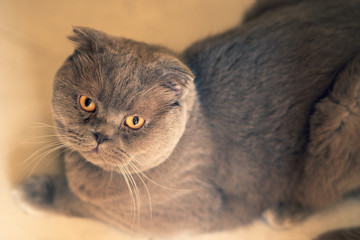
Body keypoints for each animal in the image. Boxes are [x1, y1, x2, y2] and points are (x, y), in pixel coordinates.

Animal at [12, 0, 360, 239]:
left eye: (134, 121)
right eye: (87, 103)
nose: (100, 134)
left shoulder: (167, 214)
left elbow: (84, 201)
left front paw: (34, 192)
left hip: (344, 110)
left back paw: (284, 212)